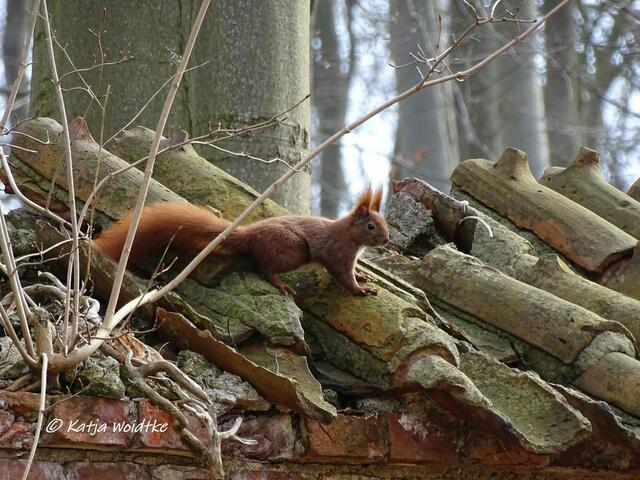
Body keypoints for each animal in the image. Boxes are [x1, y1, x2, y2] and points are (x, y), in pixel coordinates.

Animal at [94, 186, 389, 296]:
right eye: (371, 226)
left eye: (384, 222)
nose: (386, 239)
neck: (351, 237)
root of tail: (248, 235)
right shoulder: (338, 253)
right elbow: (342, 275)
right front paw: (361, 290)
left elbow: (352, 273)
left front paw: (363, 278)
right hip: (292, 250)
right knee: (264, 267)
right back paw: (280, 284)